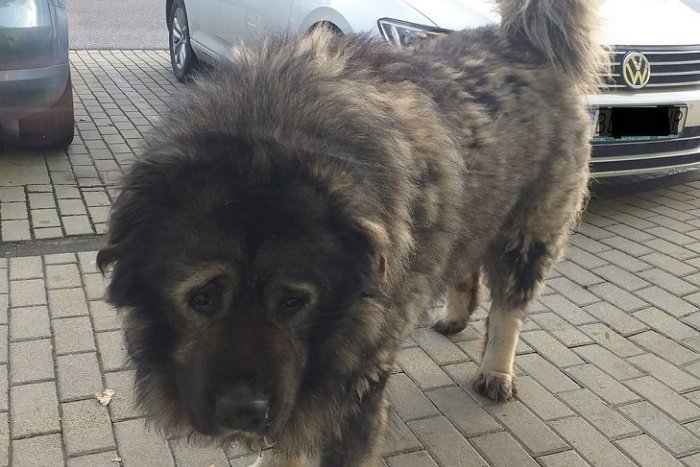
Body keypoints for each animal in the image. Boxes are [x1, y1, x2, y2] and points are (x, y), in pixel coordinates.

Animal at [97, 1, 608, 465]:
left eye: (294, 302)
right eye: (202, 298)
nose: (243, 411)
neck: (277, 127)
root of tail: (525, 40)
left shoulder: (355, 381)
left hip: (530, 231)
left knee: (509, 306)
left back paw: (496, 371)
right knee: (465, 265)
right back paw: (455, 315)